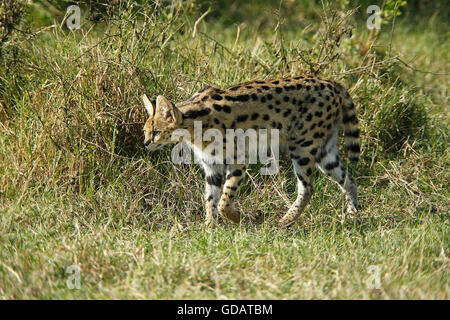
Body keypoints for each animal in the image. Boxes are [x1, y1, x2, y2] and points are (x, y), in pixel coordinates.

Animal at [142, 75, 360, 228]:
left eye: (157, 132)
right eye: (145, 131)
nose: (145, 143)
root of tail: (332, 83)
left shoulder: (238, 158)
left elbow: (224, 199)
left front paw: (236, 218)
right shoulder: (211, 165)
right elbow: (210, 199)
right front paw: (209, 228)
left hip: (303, 146)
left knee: (308, 188)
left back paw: (285, 220)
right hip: (324, 150)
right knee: (348, 179)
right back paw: (353, 215)